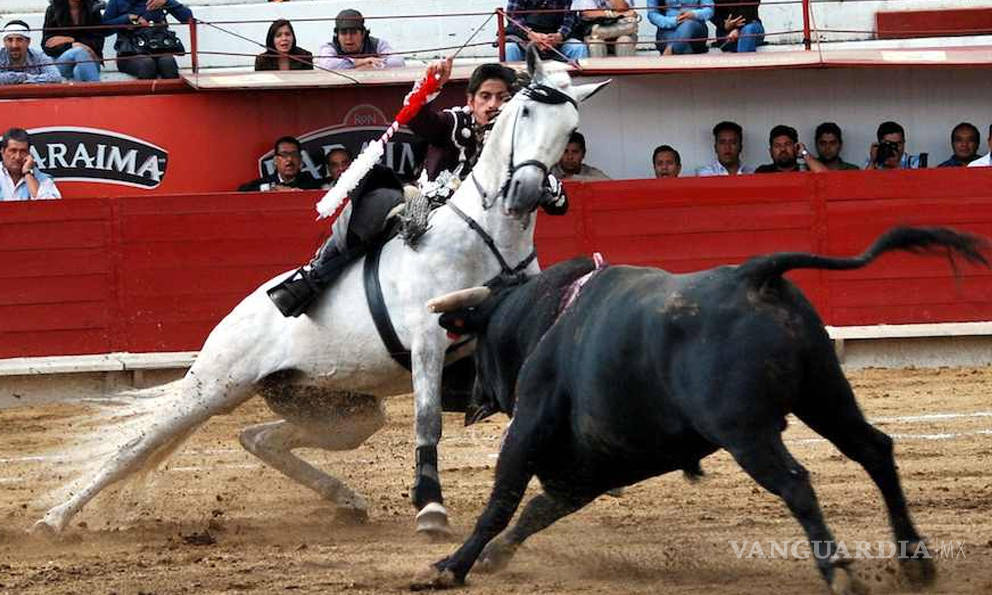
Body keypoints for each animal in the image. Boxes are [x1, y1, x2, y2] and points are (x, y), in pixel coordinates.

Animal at [35, 50, 608, 536]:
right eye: (524, 111)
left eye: (572, 129)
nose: (526, 192)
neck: (485, 237)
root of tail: (237, 313)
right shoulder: (427, 339)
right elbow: (426, 419)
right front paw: (430, 507)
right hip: (215, 384)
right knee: (136, 446)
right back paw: (54, 520)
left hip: (341, 409)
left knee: (257, 437)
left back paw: (346, 499)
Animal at [414, 227, 988, 592]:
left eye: (476, 343)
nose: (467, 397)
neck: (550, 315)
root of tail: (754, 274)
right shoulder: (592, 468)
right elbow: (538, 507)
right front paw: (496, 556)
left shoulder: (530, 428)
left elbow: (504, 498)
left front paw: (451, 566)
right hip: (825, 395)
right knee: (875, 451)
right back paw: (915, 563)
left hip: (746, 431)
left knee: (797, 483)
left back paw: (840, 573)